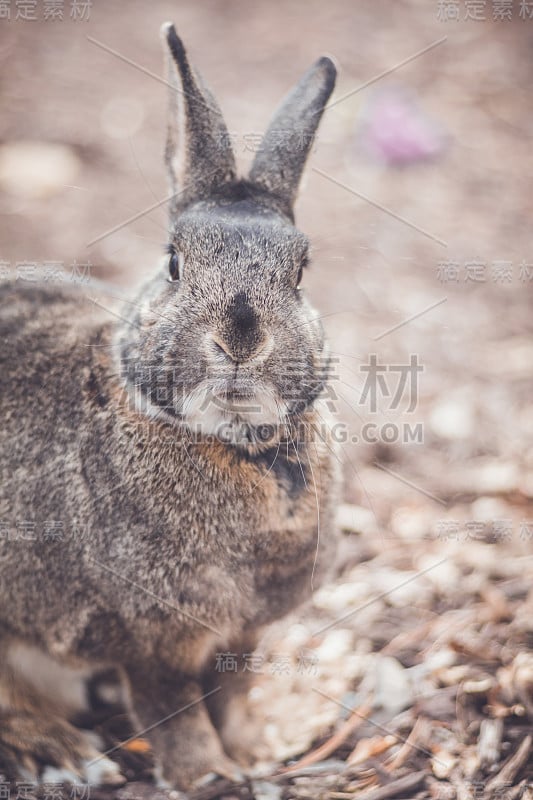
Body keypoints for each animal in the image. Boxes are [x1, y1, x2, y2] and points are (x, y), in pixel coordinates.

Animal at [0, 21, 340, 792]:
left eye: (301, 271)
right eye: (175, 263)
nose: (240, 337)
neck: (241, 444)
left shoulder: (242, 634)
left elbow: (234, 693)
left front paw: (255, 752)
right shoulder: (150, 638)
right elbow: (175, 713)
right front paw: (211, 777)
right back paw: (56, 747)